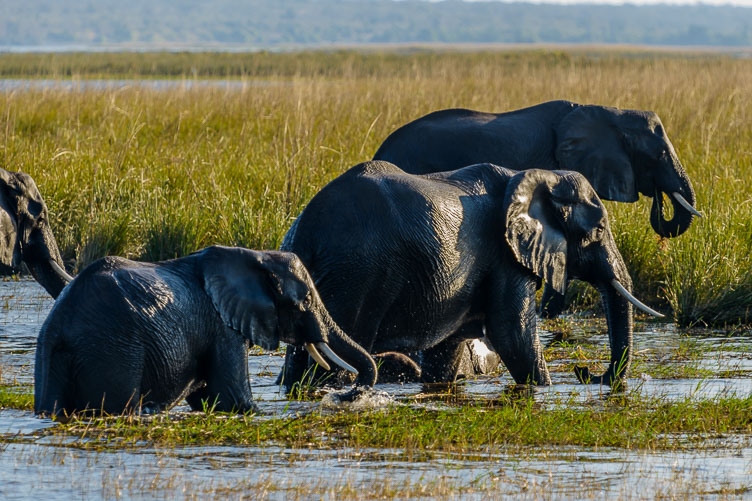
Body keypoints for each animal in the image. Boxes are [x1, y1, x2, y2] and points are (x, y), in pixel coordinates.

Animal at [34, 245, 377, 418]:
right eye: (304, 300)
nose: (342, 396)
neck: (254, 256)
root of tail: (58, 329)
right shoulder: (220, 327)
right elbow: (234, 401)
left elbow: (207, 400)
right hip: (115, 349)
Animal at [279, 161, 662, 390]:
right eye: (598, 230)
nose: (585, 373)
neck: (539, 176)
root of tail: (308, 229)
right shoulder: (505, 254)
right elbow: (513, 335)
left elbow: (447, 350)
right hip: (356, 275)